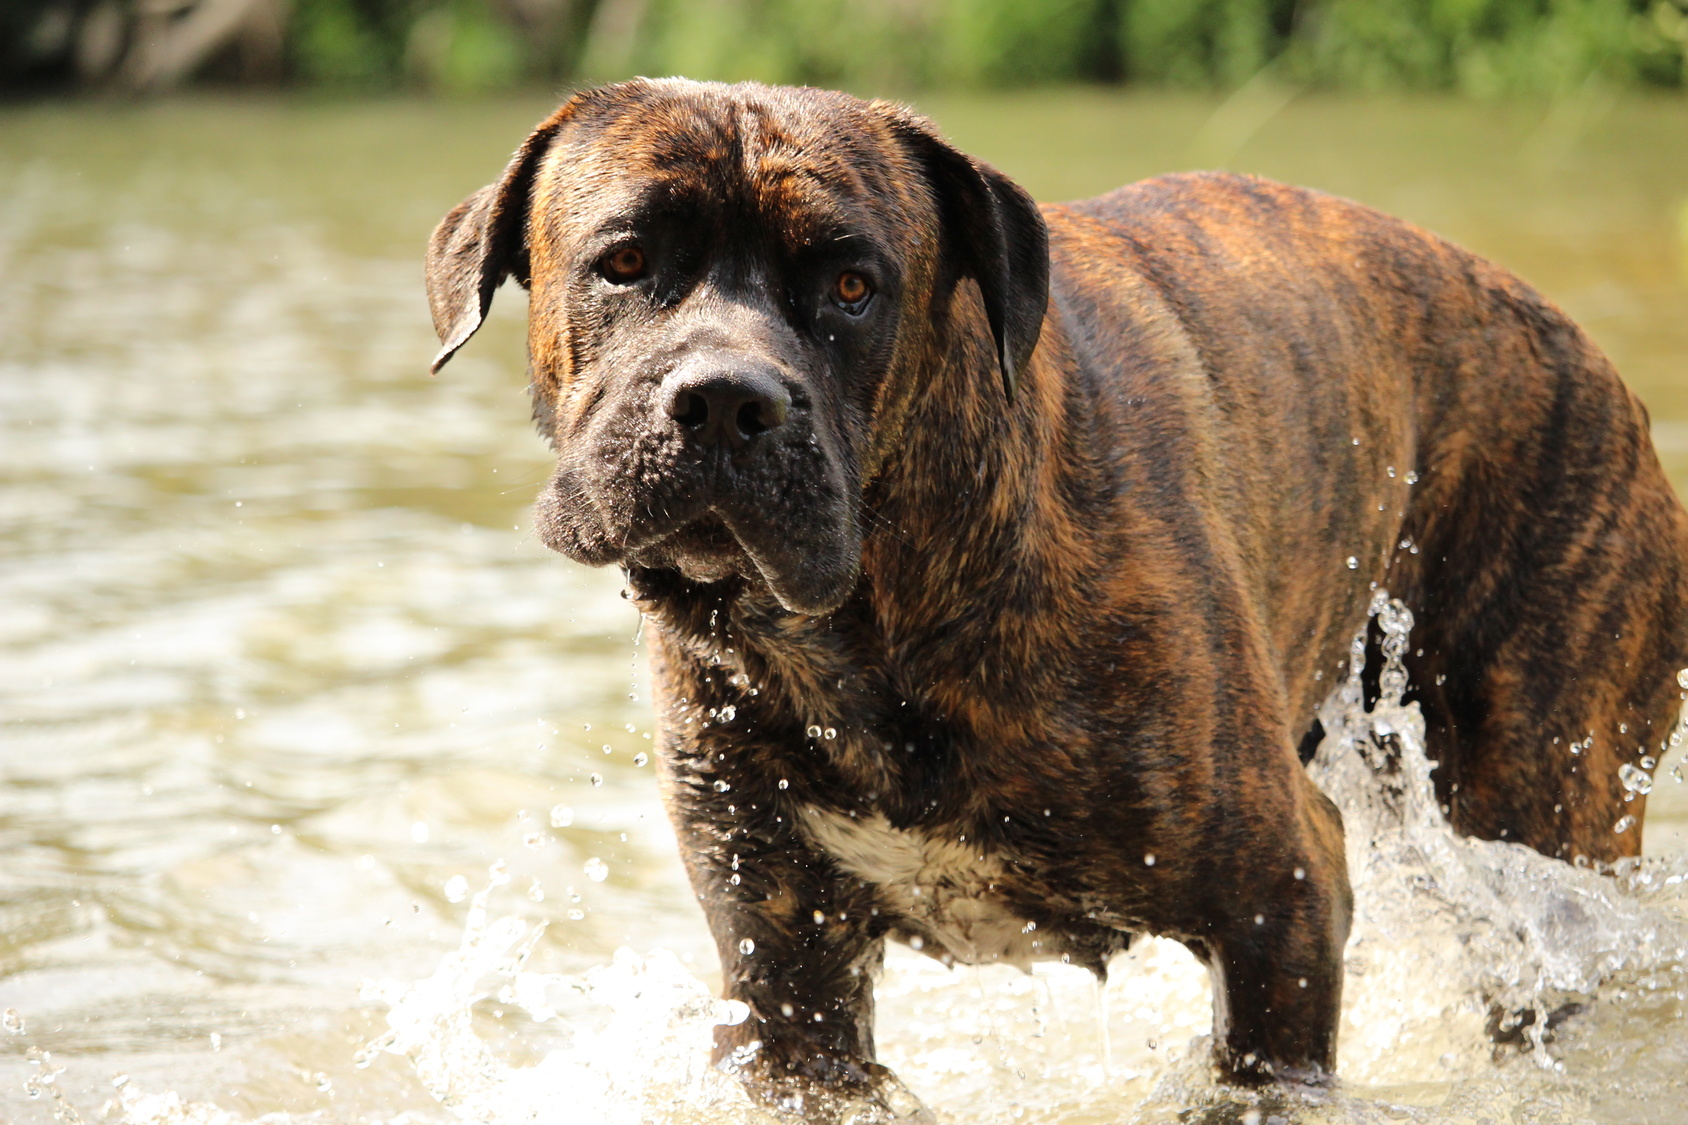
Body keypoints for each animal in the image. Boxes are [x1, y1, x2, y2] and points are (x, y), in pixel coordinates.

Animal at [428, 76, 1688, 1114]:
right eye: (625, 262)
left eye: (852, 286)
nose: (728, 398)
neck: (866, 624)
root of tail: (1599, 368)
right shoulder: (786, 975)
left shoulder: (1279, 901)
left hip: (1544, 812)